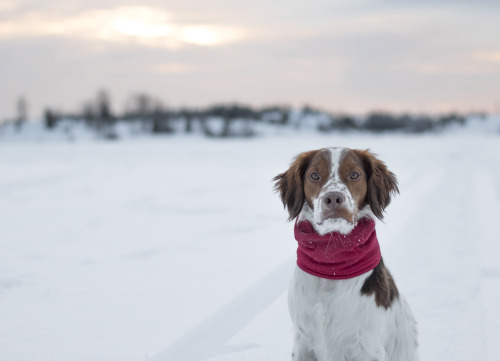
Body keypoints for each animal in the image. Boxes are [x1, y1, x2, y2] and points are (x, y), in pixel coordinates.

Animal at [274, 146, 418, 360]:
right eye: (314, 175)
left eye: (354, 174)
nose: (333, 198)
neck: (332, 265)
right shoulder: (303, 342)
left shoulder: (368, 348)